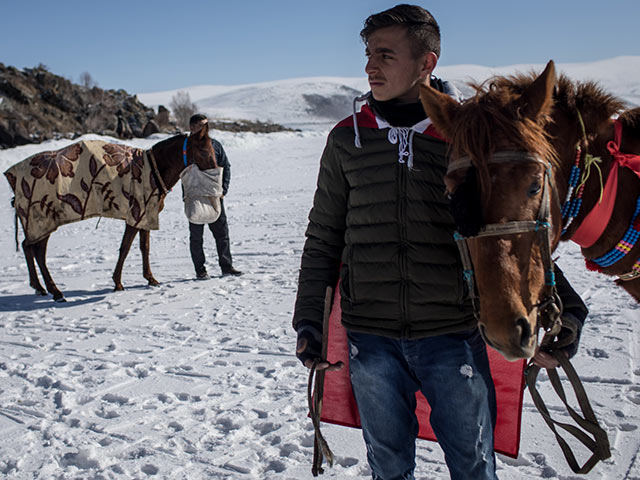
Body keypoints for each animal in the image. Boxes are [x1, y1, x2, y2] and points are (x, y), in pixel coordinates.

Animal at [4, 125, 218, 302]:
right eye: (203, 150)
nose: (217, 170)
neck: (154, 169)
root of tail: (14, 179)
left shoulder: (145, 216)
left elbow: (144, 247)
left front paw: (150, 278)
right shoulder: (136, 213)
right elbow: (125, 248)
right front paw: (117, 282)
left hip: (36, 223)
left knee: (27, 246)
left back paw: (39, 287)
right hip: (44, 219)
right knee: (38, 253)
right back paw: (55, 291)